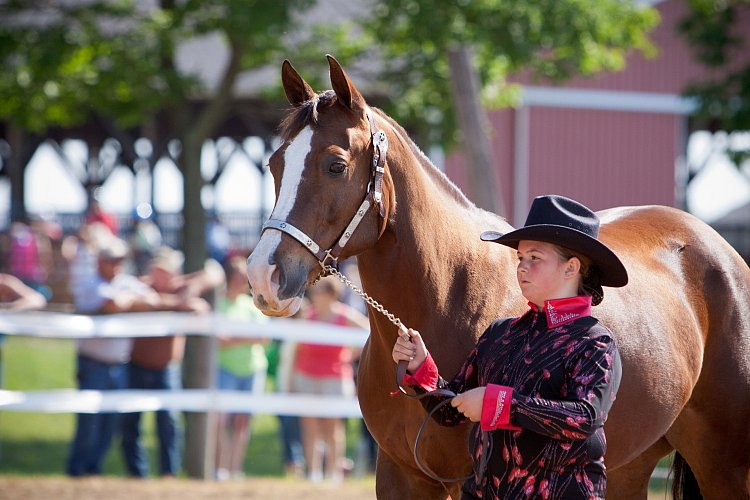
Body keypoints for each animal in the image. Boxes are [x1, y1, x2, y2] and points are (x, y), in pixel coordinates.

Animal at [247, 55, 750, 500]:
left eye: (336, 164)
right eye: (275, 164)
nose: (263, 276)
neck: (449, 298)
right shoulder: (402, 477)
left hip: (725, 465)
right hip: (628, 465)